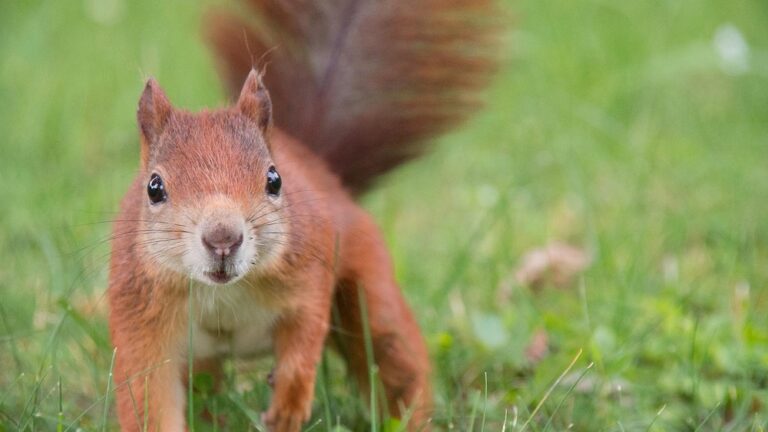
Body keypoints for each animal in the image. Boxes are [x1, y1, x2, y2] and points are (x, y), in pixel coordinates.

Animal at [108, 0, 498, 431]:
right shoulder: (141, 317)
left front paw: (288, 405)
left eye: (274, 180)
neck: (223, 292)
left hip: (368, 290)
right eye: (154, 188)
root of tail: (319, 167)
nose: (223, 238)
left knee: (394, 358)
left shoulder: (309, 274)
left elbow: (305, 336)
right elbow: (149, 395)